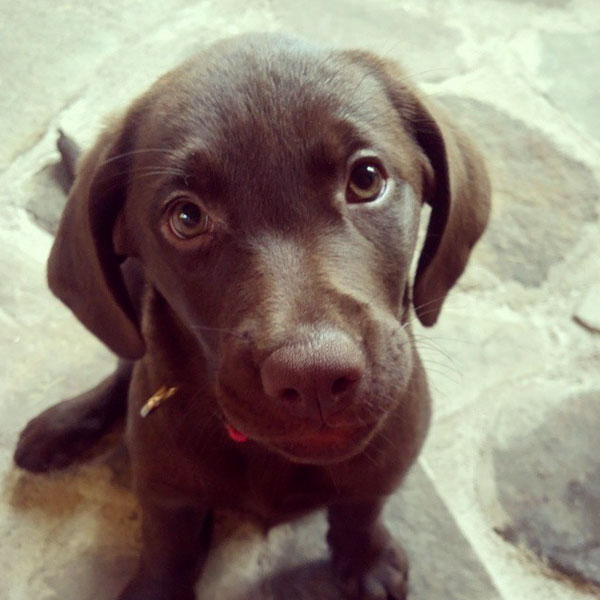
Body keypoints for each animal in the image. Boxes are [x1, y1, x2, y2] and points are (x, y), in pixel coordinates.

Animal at [14, 34, 490, 600]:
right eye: (186, 217)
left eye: (366, 179)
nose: (314, 377)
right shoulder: (165, 492)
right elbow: (167, 546)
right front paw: (159, 584)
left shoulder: (389, 455)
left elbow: (360, 508)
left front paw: (366, 560)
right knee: (126, 365)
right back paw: (64, 425)